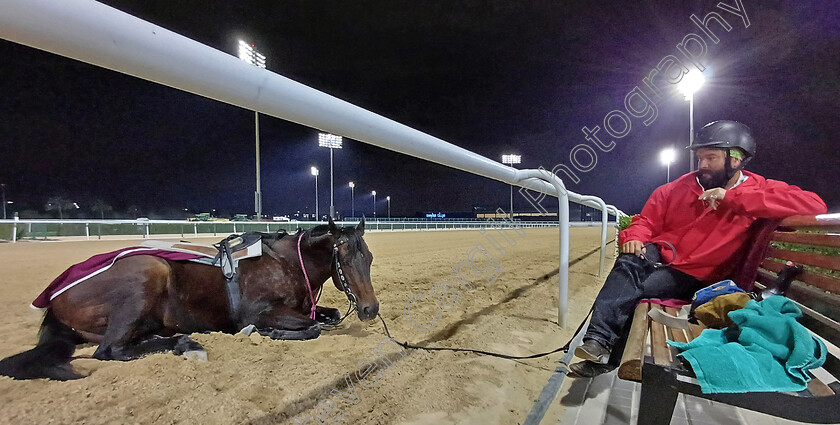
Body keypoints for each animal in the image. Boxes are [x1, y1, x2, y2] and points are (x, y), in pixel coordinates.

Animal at [0, 217, 378, 380]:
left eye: (370, 257)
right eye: (345, 258)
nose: (370, 308)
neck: (283, 261)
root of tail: (56, 298)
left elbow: (326, 317)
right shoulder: (260, 312)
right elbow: (311, 327)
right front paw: (268, 333)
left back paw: (184, 341)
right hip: (148, 273)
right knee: (110, 350)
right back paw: (189, 345)